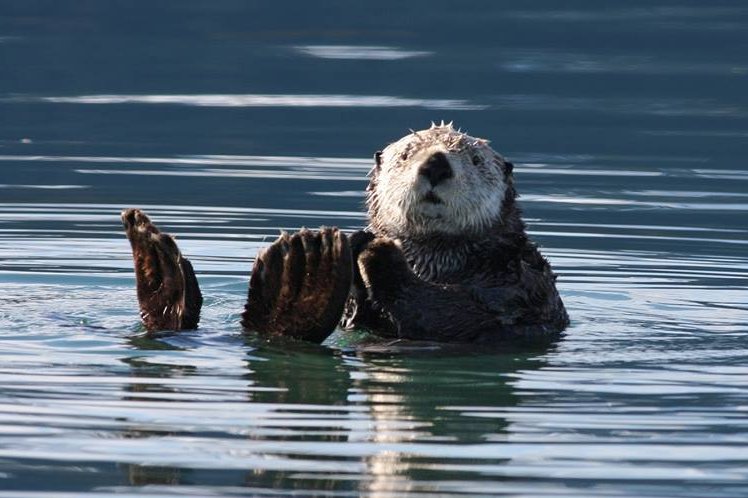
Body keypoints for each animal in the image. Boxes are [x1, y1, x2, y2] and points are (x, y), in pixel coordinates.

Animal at [122, 123, 568, 344]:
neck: (435, 262)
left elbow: (462, 316)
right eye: (407, 154)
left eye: (475, 160)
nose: (437, 164)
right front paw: (362, 241)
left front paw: (378, 251)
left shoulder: (521, 284)